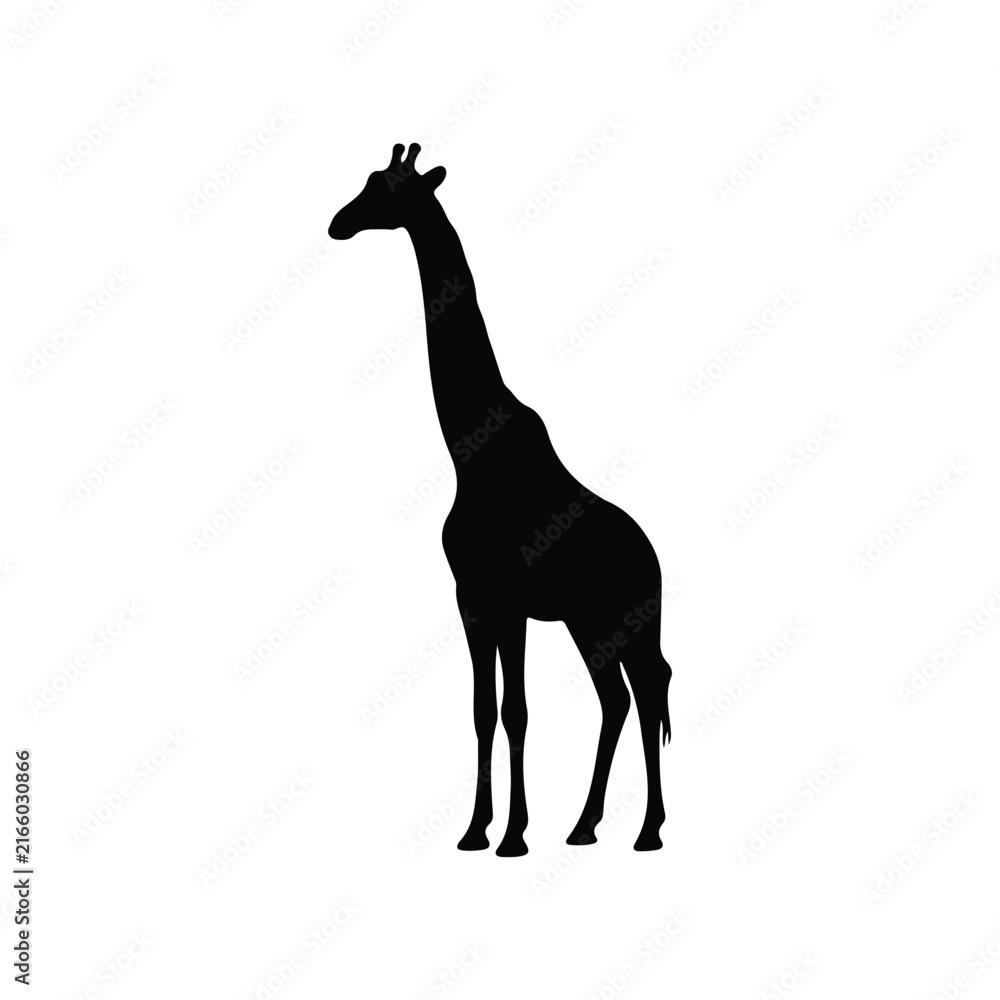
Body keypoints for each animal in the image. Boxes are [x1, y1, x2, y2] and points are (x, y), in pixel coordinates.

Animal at [329, 143, 672, 854]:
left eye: (387, 191)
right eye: (369, 181)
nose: (337, 223)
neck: (470, 451)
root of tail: (654, 558)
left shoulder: (509, 600)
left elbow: (516, 711)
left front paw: (513, 834)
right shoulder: (472, 598)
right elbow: (483, 711)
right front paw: (475, 829)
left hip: (627, 618)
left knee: (649, 691)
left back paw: (648, 831)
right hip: (589, 622)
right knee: (620, 699)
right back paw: (585, 826)